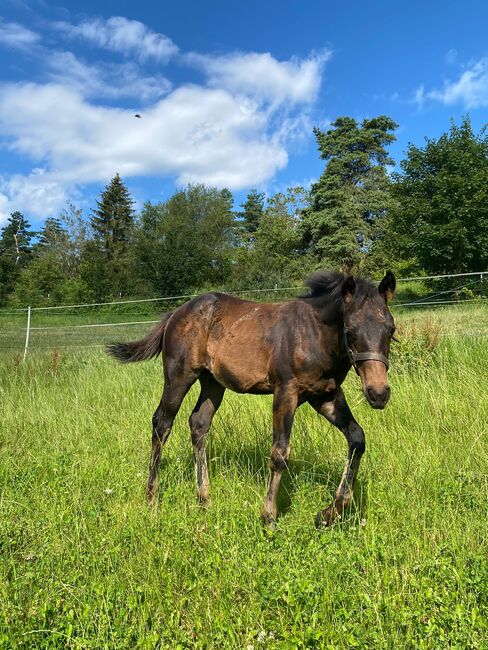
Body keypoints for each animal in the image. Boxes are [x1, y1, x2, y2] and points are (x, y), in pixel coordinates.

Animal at [107, 268, 396, 528]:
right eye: (350, 331)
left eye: (391, 330)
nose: (378, 393)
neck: (314, 334)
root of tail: (175, 314)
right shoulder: (285, 391)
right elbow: (280, 453)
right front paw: (269, 518)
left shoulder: (325, 395)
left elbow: (357, 438)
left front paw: (327, 514)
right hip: (178, 376)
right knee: (162, 423)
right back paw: (152, 499)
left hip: (212, 383)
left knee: (198, 423)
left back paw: (205, 499)